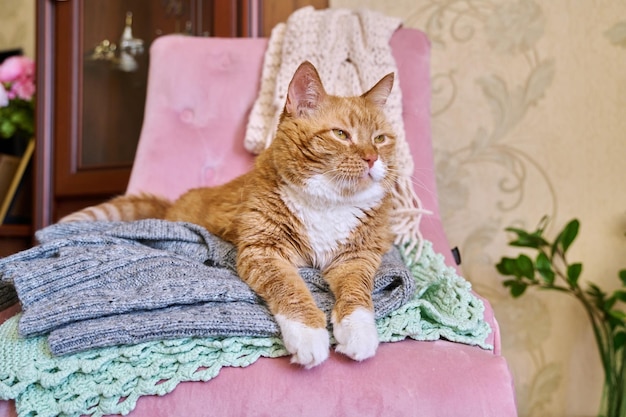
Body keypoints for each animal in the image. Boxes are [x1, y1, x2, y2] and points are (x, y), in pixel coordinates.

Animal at [62, 61, 394, 368]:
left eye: (380, 139)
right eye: (341, 134)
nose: (372, 158)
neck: (329, 203)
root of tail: (171, 205)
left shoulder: (356, 258)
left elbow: (357, 292)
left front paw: (359, 332)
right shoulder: (264, 251)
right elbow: (291, 288)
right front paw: (309, 335)